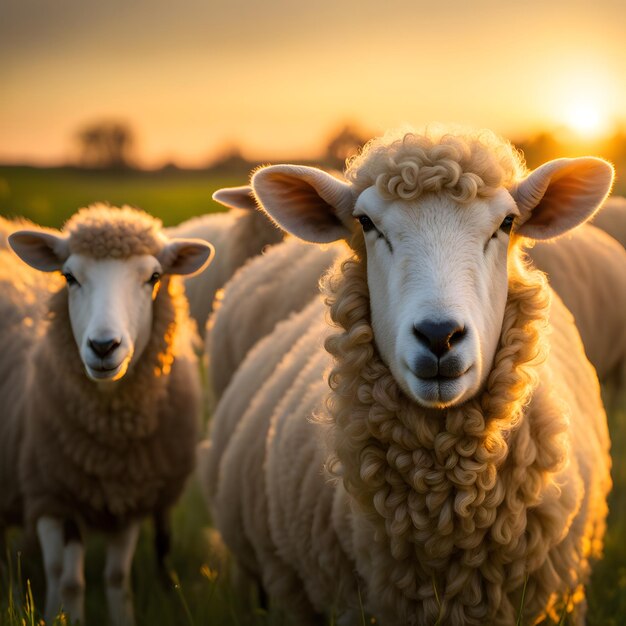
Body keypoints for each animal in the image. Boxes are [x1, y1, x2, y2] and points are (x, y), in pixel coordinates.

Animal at [0, 205, 213, 624]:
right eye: (68, 276)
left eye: (154, 277)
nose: (103, 346)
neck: (109, 448)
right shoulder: (50, 495)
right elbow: (67, 581)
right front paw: (60, 615)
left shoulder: (128, 498)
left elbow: (116, 578)